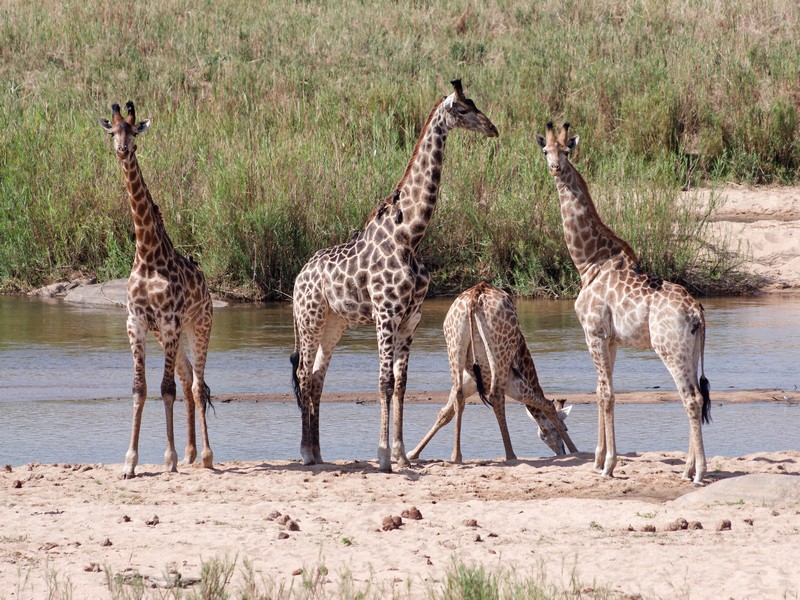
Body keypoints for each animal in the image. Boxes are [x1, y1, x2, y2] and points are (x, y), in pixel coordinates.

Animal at [98, 102, 214, 478]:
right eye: (112, 131)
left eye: (134, 132)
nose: (123, 150)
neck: (148, 254)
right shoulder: (136, 322)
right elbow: (140, 389)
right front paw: (130, 462)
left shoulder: (168, 320)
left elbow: (166, 390)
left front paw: (169, 458)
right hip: (169, 336)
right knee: (189, 378)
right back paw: (192, 453)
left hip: (198, 326)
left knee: (197, 384)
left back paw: (206, 456)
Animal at [290, 81, 496, 474]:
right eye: (463, 109)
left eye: (476, 104)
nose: (492, 128)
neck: (410, 236)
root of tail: (298, 277)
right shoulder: (385, 314)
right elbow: (384, 381)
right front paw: (384, 456)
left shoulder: (410, 317)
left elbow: (401, 384)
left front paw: (401, 454)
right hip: (309, 320)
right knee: (304, 375)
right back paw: (306, 453)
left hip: (334, 323)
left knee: (318, 378)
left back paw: (320, 453)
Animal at [406, 284, 576, 462]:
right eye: (565, 428)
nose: (560, 452)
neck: (523, 360)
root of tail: (475, 295)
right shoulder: (513, 380)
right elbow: (547, 404)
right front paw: (575, 450)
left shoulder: (469, 381)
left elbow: (446, 413)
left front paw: (413, 453)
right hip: (498, 355)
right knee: (496, 396)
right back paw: (510, 455)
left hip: (454, 345)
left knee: (460, 396)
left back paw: (456, 456)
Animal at [536, 124, 708, 486]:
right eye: (546, 151)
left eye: (566, 151)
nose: (555, 168)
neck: (589, 262)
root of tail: (696, 313)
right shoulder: (610, 338)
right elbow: (601, 390)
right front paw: (598, 460)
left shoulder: (594, 332)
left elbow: (606, 394)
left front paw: (608, 465)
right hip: (689, 350)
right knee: (695, 396)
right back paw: (687, 468)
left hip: (669, 348)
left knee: (690, 397)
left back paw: (700, 471)